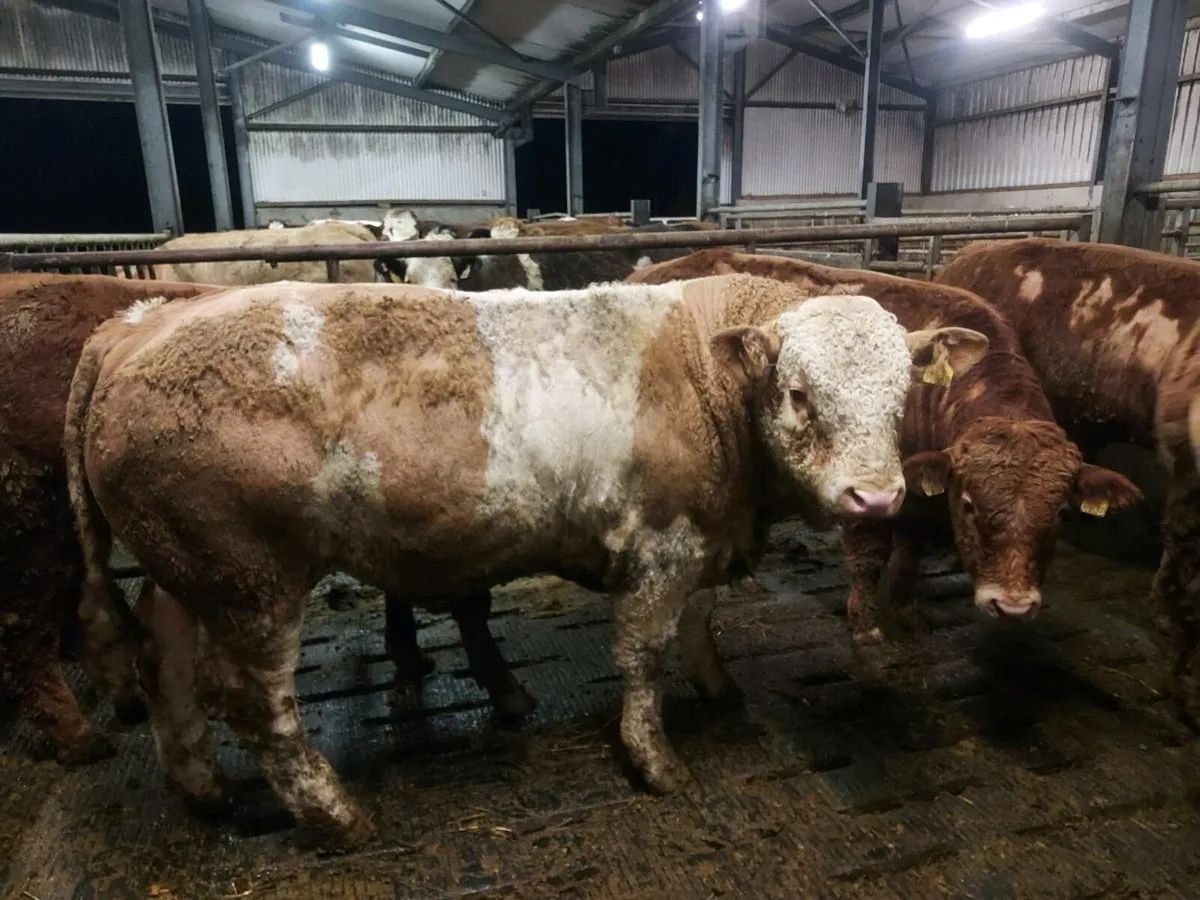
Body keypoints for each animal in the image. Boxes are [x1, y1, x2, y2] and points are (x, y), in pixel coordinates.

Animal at [65, 274, 987, 847]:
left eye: (902, 396)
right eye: (799, 394)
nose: (875, 499)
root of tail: (137, 324)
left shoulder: (703, 534)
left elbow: (701, 622)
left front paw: (719, 688)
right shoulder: (658, 546)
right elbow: (643, 656)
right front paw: (655, 760)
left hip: (189, 573)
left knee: (163, 660)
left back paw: (202, 787)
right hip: (251, 579)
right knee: (254, 701)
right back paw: (336, 817)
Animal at [627, 249, 1142, 643]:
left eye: (1059, 512)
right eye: (970, 505)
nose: (1012, 607)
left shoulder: (920, 492)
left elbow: (912, 550)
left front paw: (907, 608)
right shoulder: (865, 490)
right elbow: (870, 555)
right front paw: (867, 622)